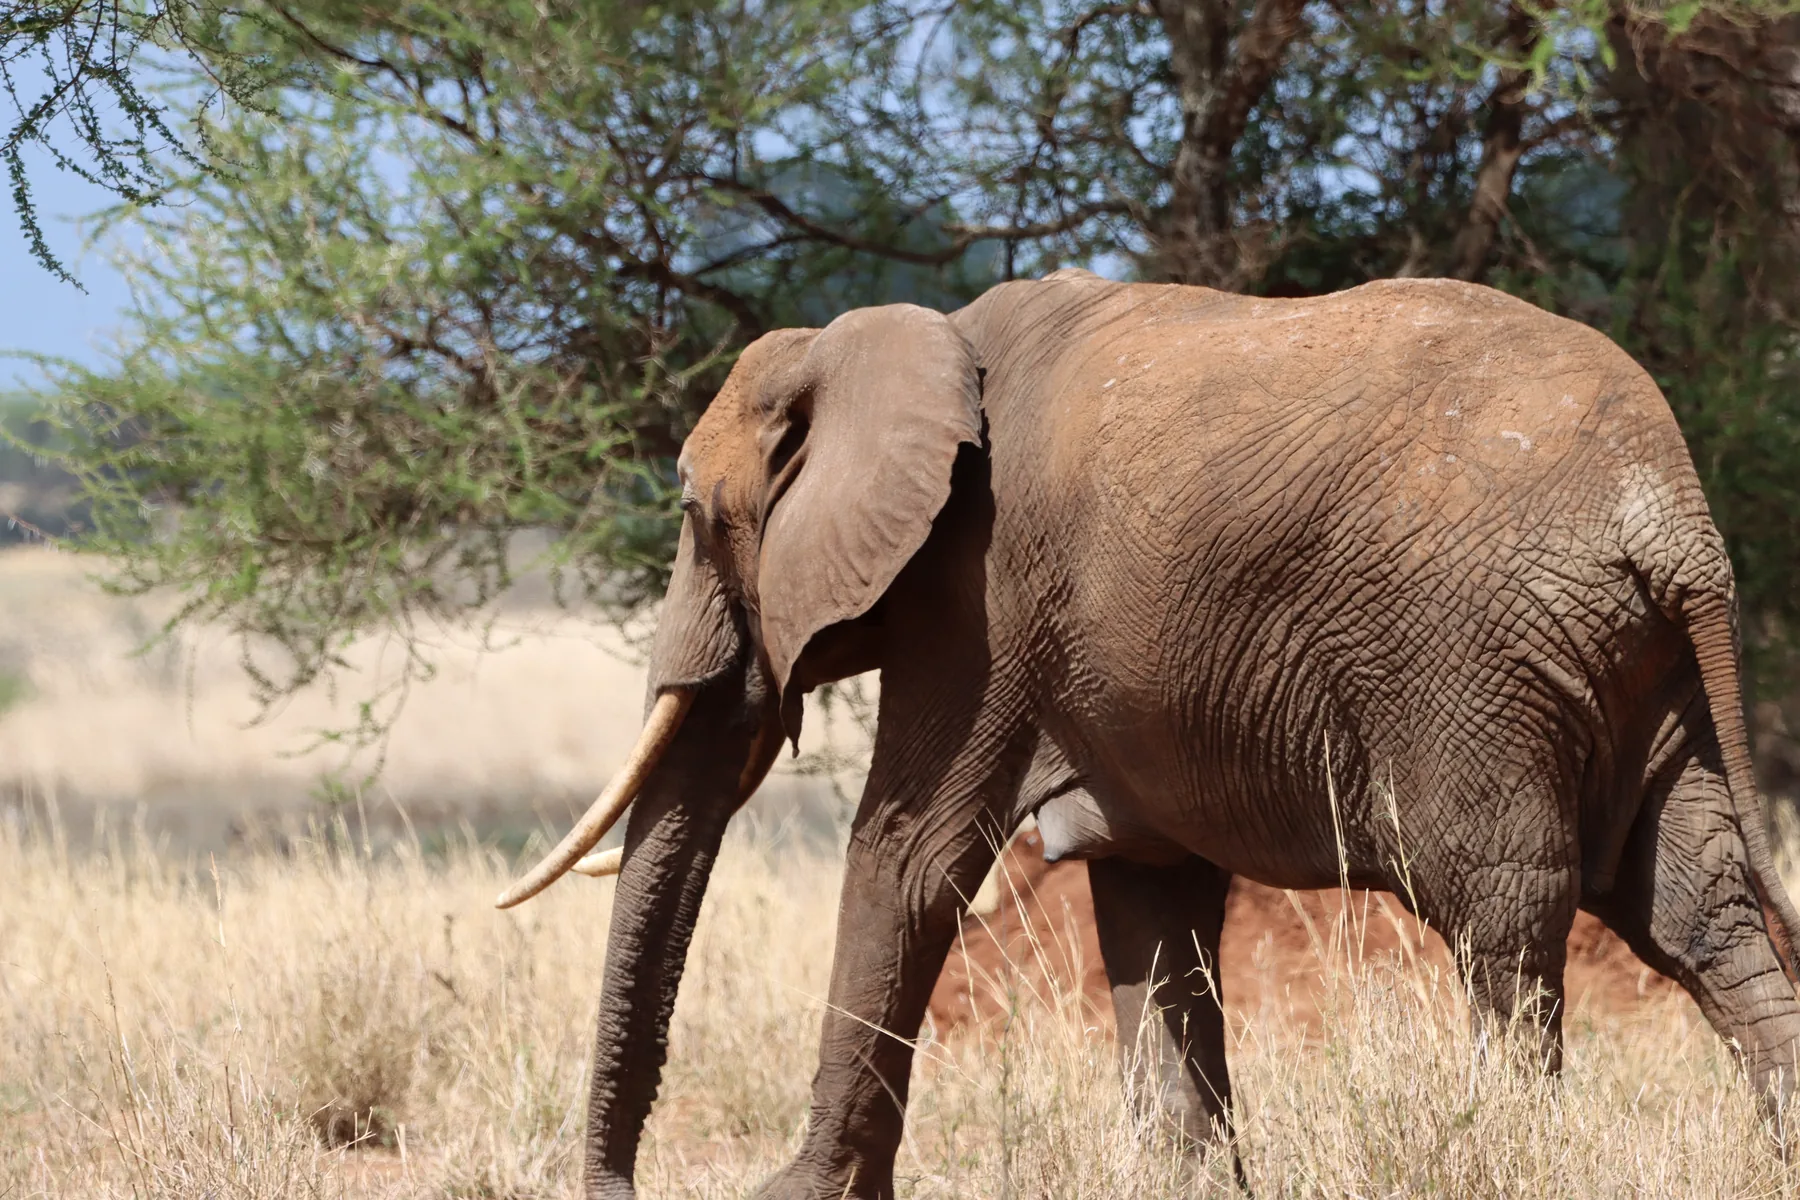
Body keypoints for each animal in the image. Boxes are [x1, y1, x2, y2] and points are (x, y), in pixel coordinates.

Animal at [496, 269, 1800, 1199]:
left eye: (692, 514)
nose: (615, 1189)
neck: (884, 339)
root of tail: (1668, 514)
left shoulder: (979, 601)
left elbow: (907, 860)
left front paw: (794, 1194)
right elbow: (1149, 897)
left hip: (1476, 662)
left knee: (1504, 916)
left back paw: (1509, 1164)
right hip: (1639, 666)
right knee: (1702, 910)